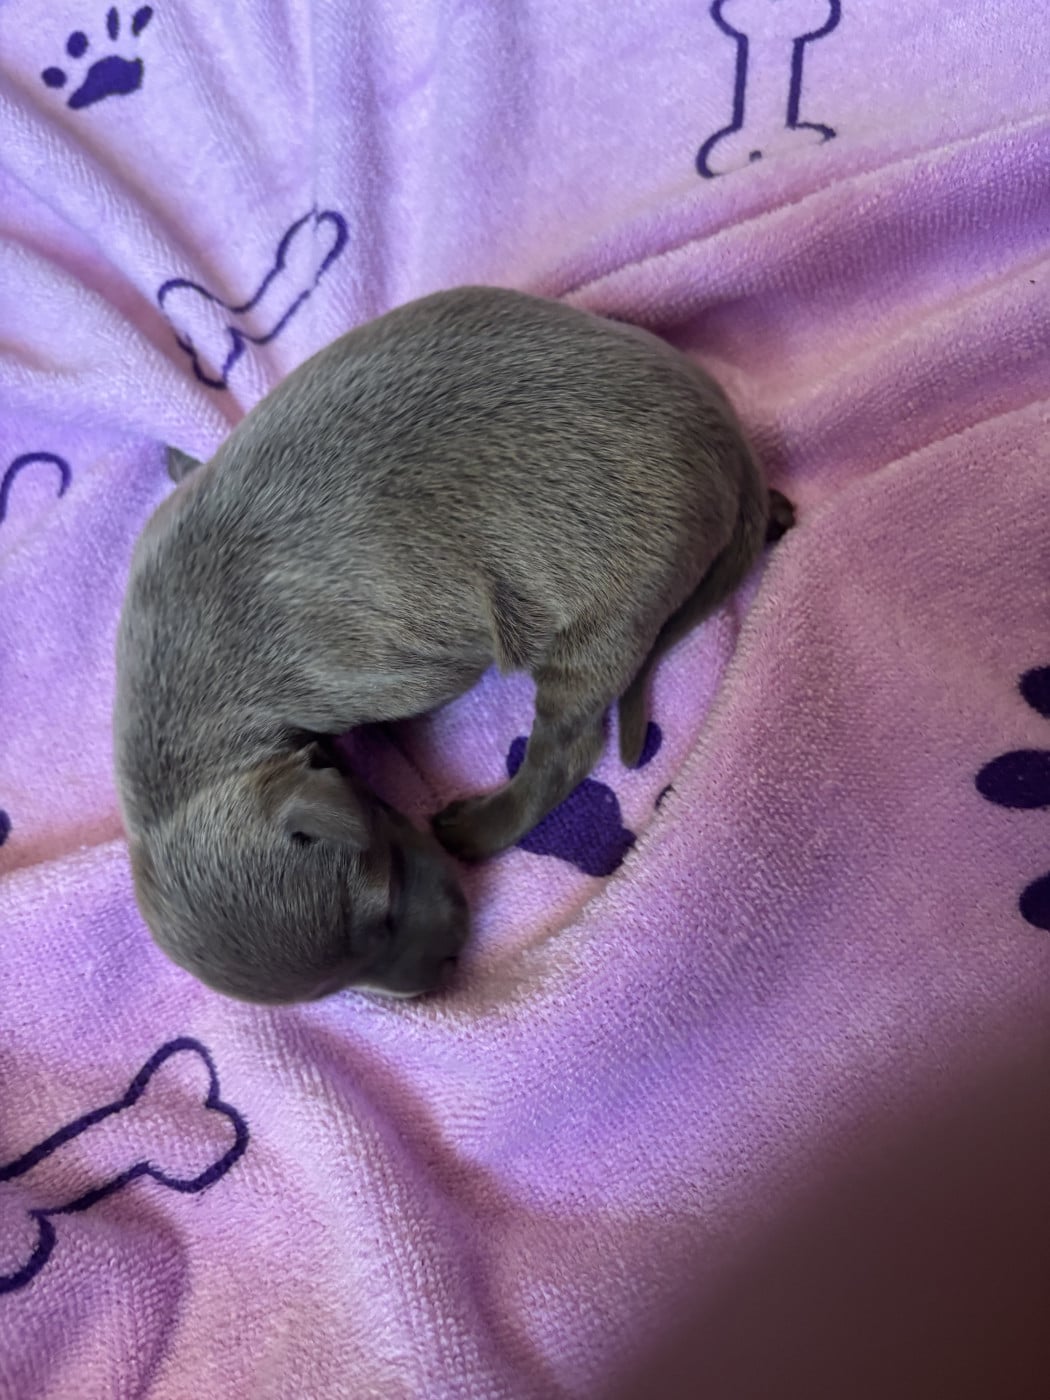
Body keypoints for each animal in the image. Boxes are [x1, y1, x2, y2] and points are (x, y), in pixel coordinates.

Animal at [114, 286, 794, 1005]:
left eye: (384, 906)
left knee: (568, 751)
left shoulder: (381, 674)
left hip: (600, 620)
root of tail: (732, 447)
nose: (441, 973)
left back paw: (477, 827)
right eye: (339, 992)